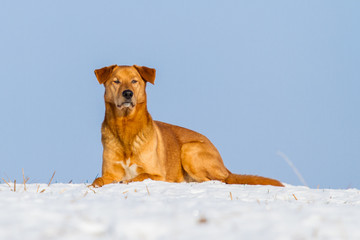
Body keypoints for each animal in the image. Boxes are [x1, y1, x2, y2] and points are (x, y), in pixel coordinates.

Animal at [91, 64, 282, 187]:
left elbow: (140, 176)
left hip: (189, 149)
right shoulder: (109, 173)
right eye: (116, 81)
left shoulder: (157, 174)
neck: (126, 128)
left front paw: (127, 181)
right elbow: (97, 181)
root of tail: (224, 166)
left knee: (217, 181)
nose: (128, 94)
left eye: (134, 81)